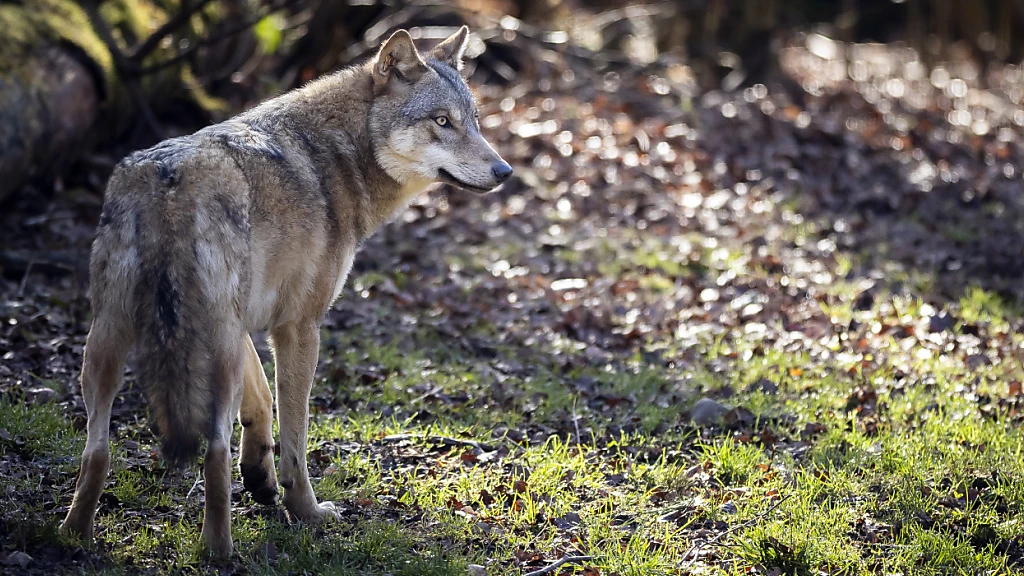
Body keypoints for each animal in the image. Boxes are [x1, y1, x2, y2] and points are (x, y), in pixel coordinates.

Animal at [60, 26, 511, 557]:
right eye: (443, 121)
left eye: (474, 122)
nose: (504, 171)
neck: (338, 154)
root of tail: (170, 181)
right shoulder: (300, 327)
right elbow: (296, 436)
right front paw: (307, 511)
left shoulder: (247, 324)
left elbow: (262, 400)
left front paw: (260, 476)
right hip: (200, 348)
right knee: (212, 450)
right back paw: (220, 552)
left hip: (112, 339)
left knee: (97, 450)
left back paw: (74, 535)